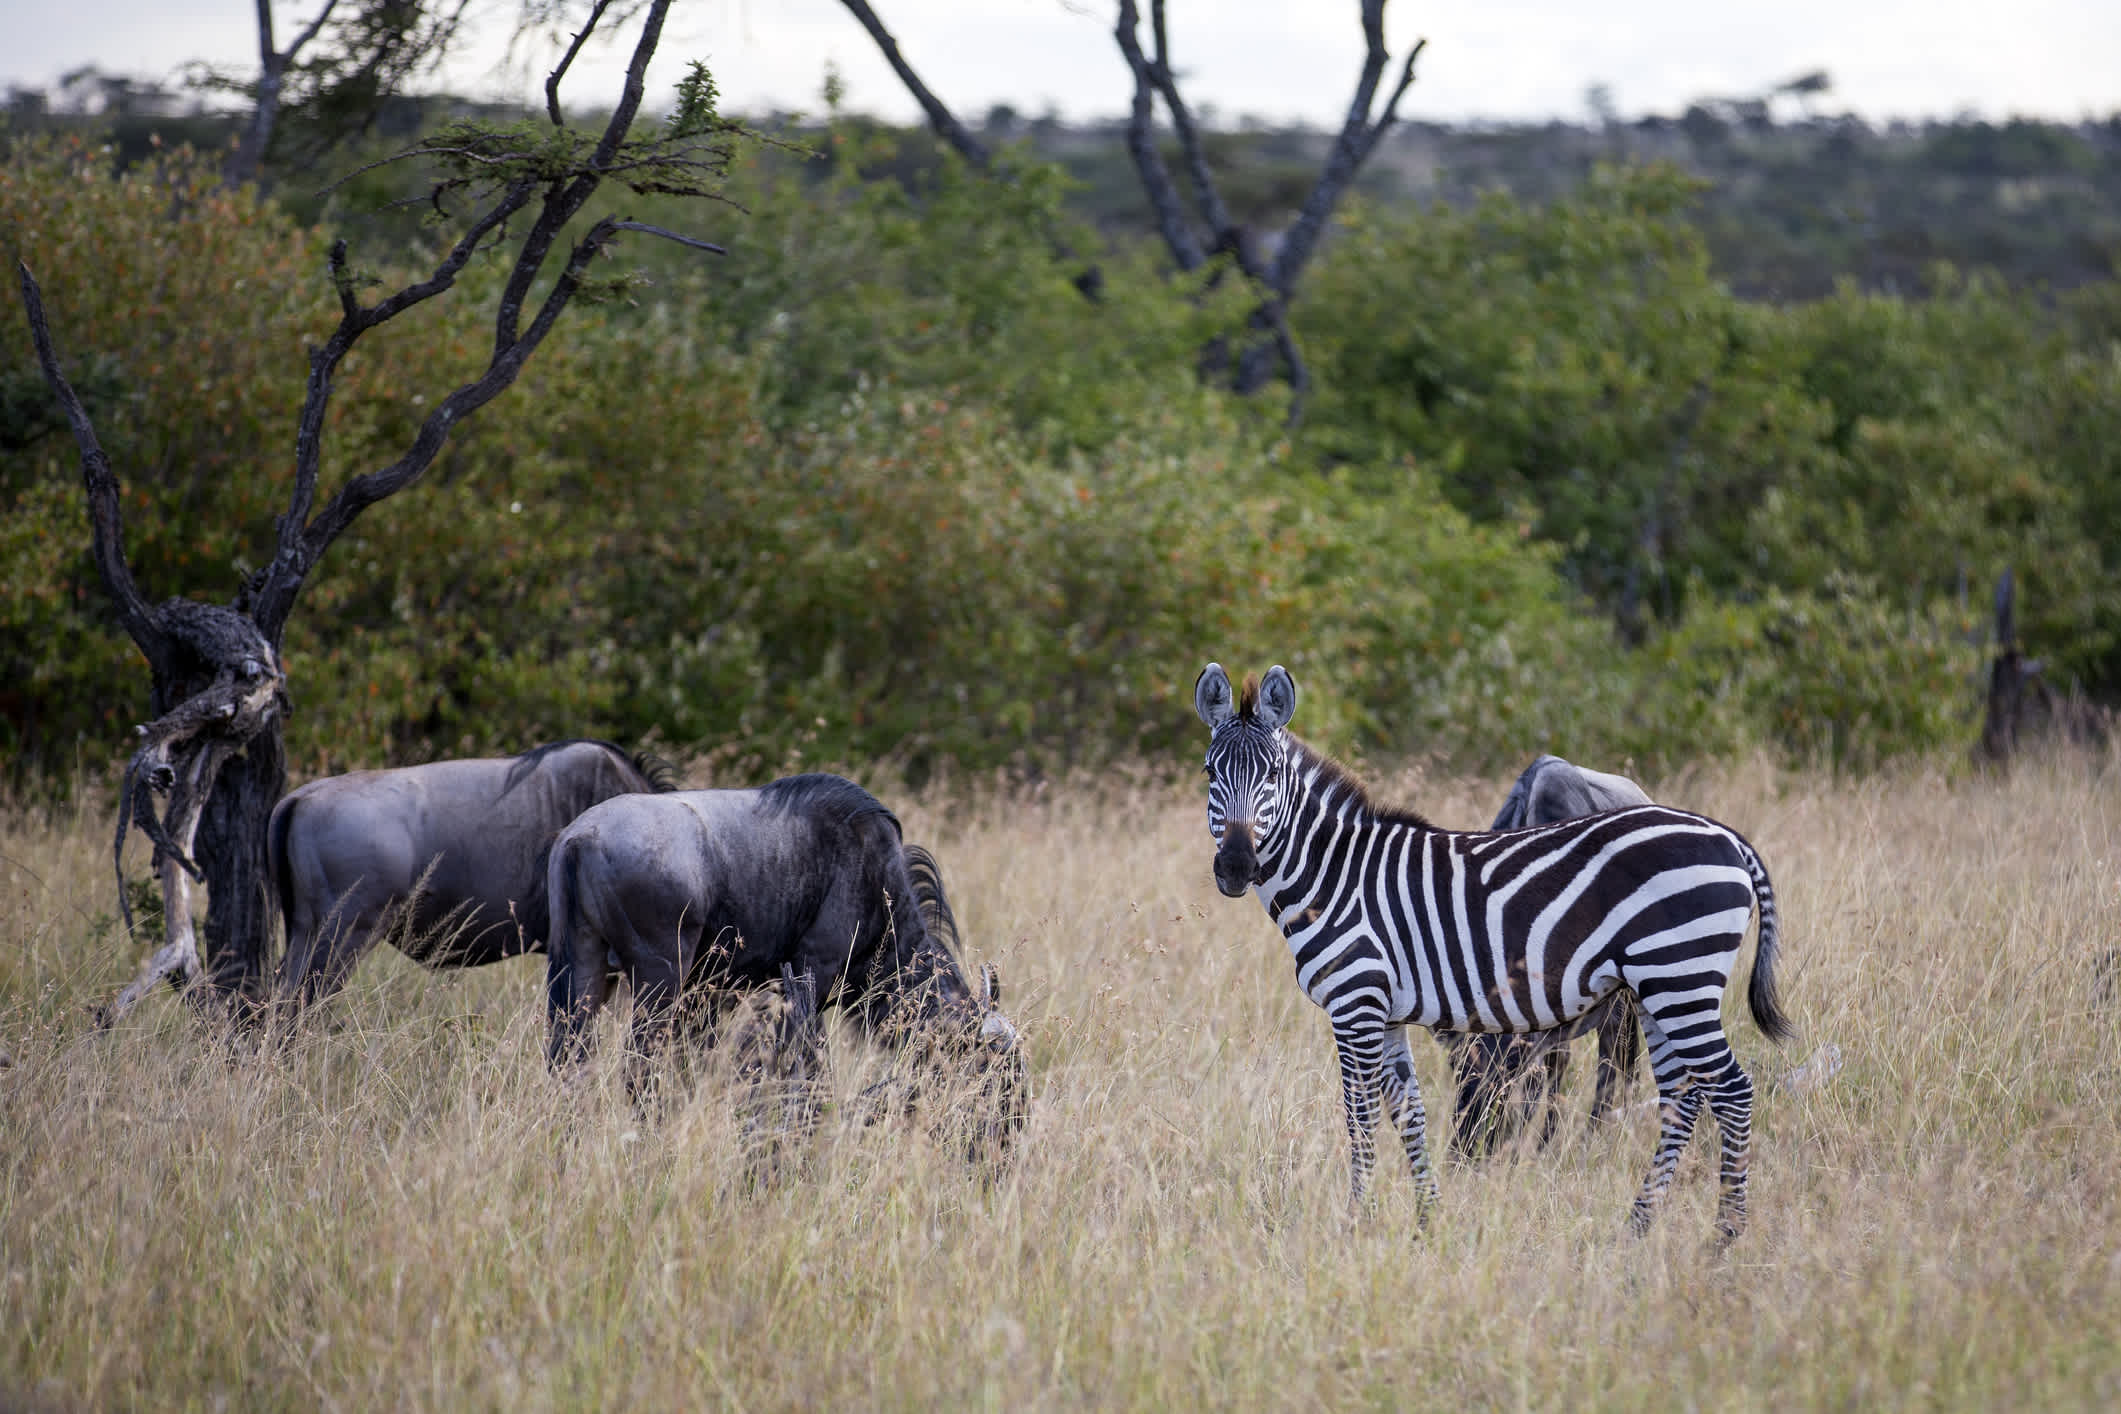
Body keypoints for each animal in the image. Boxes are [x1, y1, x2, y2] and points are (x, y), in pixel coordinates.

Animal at [1196, 665, 1790, 1238]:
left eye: (1273, 776)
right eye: (1209, 773)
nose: (1236, 865)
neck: (1336, 878)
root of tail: (1728, 837)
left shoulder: (1354, 1003)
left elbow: (1359, 1118)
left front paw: (1354, 1222)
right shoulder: (1386, 1013)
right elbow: (1408, 1114)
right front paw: (1427, 1221)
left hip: (1678, 977)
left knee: (1731, 1091)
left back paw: (1724, 1235)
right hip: (1657, 989)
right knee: (1682, 1097)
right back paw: (1637, 1228)